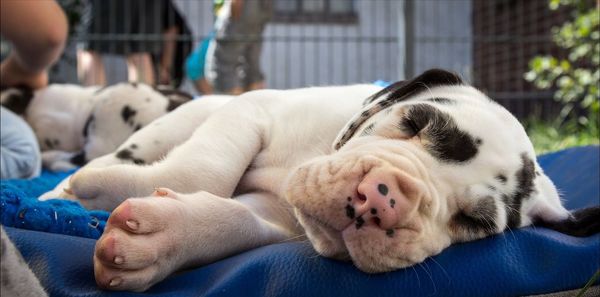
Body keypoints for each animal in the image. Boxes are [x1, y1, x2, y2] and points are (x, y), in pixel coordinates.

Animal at [41, 69, 596, 292]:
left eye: (475, 223)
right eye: (415, 123)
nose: (384, 199)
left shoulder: (273, 215)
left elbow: (230, 216)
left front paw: (160, 240)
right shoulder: (251, 110)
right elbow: (206, 170)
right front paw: (91, 187)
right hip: (178, 122)